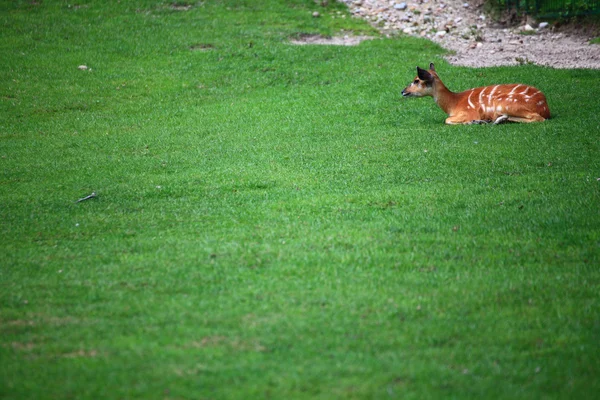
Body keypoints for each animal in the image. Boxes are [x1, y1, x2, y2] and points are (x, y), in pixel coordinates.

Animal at [400, 63, 552, 123]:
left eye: (416, 80)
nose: (403, 91)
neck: (453, 104)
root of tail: (545, 107)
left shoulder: (468, 112)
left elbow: (447, 120)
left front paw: (473, 121)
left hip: (505, 102)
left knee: (537, 118)